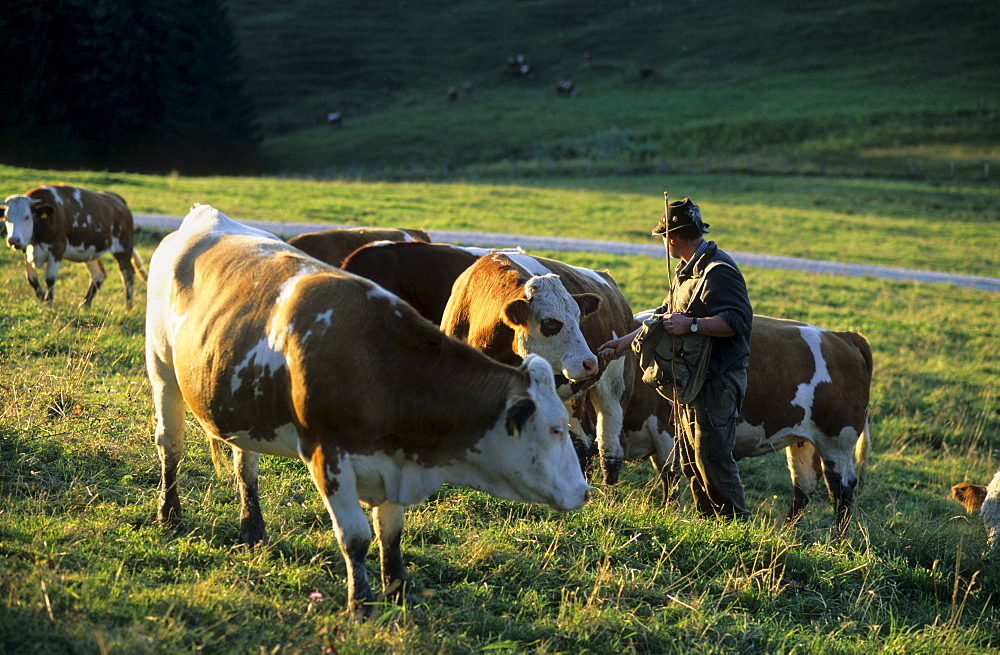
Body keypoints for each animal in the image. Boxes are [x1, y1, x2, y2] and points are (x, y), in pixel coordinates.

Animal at [0, 183, 148, 308]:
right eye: (6, 218)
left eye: (27, 217)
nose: (13, 240)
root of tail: (115, 198)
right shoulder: (26, 248)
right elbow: (31, 279)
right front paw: (43, 297)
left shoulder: (57, 248)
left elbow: (50, 279)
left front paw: (49, 301)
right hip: (91, 250)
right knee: (98, 275)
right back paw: (85, 305)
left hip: (123, 247)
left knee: (128, 274)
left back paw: (128, 307)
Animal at [444, 254, 636, 484]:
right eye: (550, 322)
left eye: (578, 318)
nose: (589, 363)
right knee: (583, 439)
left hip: (614, 382)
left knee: (609, 438)